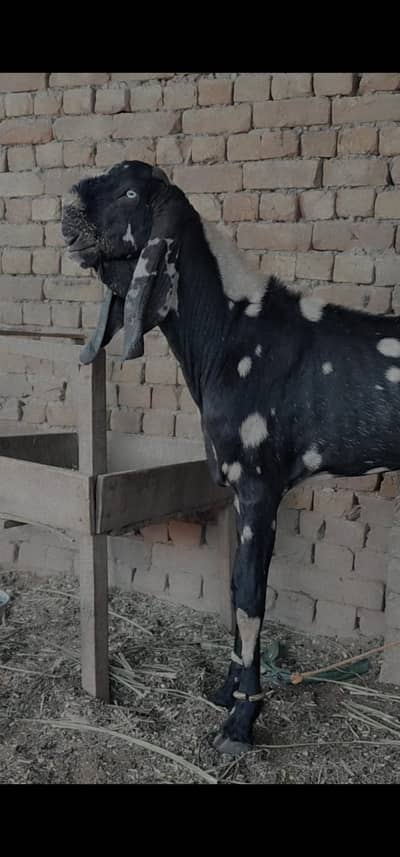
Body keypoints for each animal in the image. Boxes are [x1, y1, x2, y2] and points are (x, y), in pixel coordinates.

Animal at [62, 160, 400, 755]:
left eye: (130, 192)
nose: (65, 214)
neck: (234, 332)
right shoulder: (238, 491)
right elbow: (233, 587)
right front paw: (227, 694)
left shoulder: (260, 486)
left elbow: (249, 596)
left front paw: (241, 722)